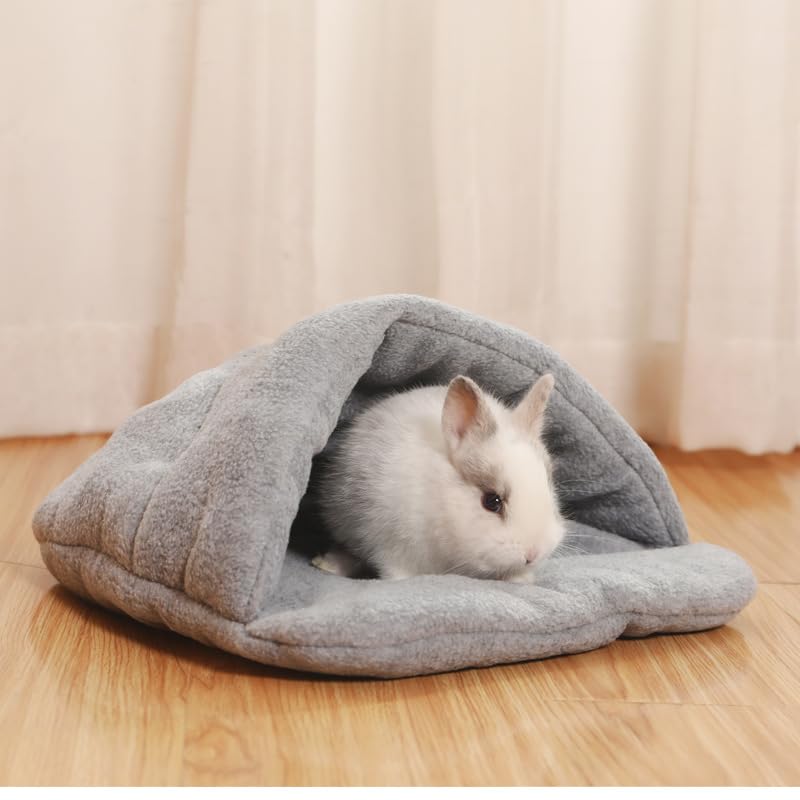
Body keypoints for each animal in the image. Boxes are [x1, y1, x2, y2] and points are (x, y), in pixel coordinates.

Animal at [312, 373, 565, 583]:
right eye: (492, 501)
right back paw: (326, 565)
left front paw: (522, 579)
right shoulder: (393, 546)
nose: (533, 553)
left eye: (549, 488)